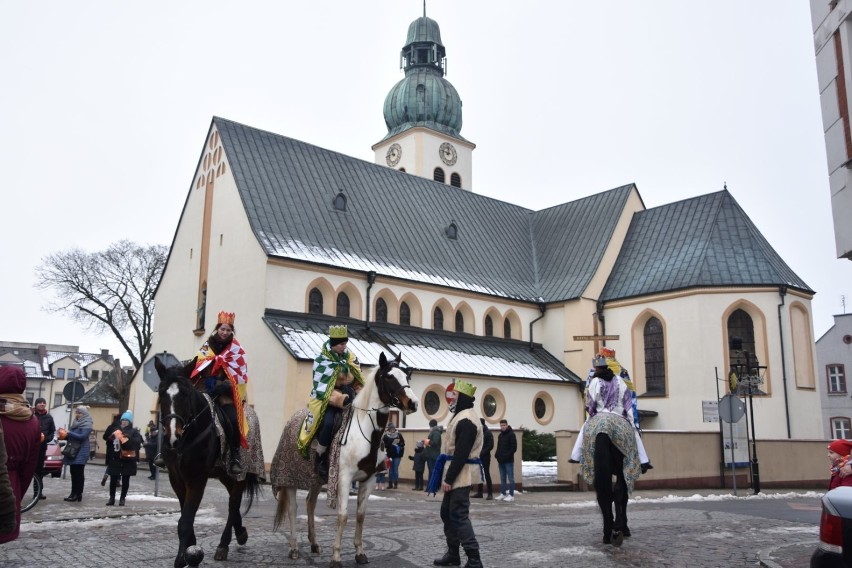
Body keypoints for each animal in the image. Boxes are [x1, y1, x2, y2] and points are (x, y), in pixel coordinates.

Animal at [153, 358, 260, 564]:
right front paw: (190, 547)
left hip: (240, 475)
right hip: (224, 474)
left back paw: (223, 545)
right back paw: (241, 533)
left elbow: (185, 521)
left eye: (186, 393)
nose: (173, 436)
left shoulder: (197, 479)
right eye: (162, 392)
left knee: (233, 504)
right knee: (233, 503)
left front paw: (182, 559)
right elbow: (185, 515)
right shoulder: (176, 478)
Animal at [272, 352, 420, 564]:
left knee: (310, 503)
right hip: (289, 478)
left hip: (316, 479)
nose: (413, 403)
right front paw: (336, 556)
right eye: (389, 377)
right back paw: (293, 548)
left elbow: (360, 515)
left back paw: (314, 543)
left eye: (406, 376)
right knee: (293, 508)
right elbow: (342, 516)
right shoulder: (343, 478)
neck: (367, 431)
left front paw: (360, 552)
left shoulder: (369, 479)